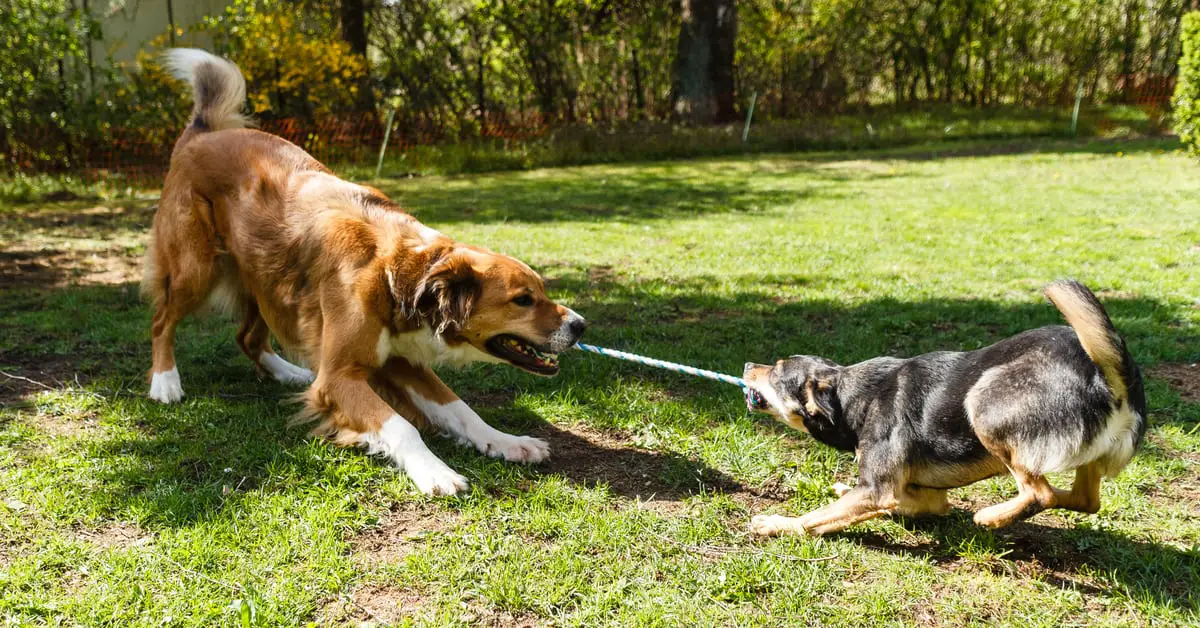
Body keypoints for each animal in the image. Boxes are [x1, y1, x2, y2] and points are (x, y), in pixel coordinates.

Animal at [145, 50, 585, 497]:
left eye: (543, 290)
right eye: (523, 300)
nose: (580, 325)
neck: (401, 274)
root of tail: (201, 134)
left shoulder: (403, 362)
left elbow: (460, 409)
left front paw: (506, 442)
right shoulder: (339, 377)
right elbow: (402, 425)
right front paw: (435, 471)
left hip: (265, 279)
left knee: (248, 337)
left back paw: (286, 372)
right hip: (196, 269)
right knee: (163, 321)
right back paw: (165, 382)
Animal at [744, 282, 1147, 537]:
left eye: (776, 370)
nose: (747, 365)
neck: (850, 397)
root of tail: (1112, 379)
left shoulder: (878, 490)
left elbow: (816, 518)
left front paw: (778, 525)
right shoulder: (921, 495)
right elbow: (888, 506)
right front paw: (842, 494)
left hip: (984, 402)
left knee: (1040, 494)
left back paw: (990, 517)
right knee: (1085, 501)